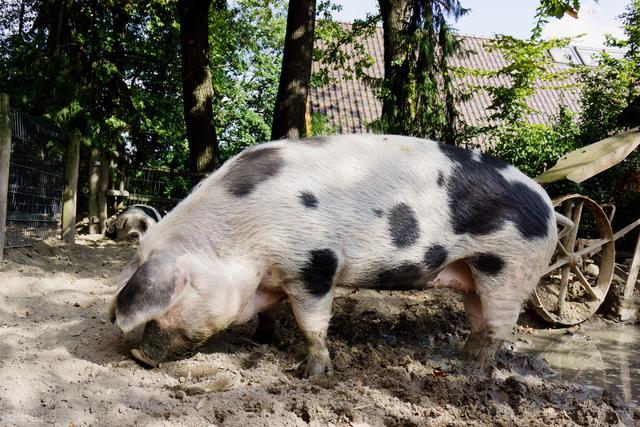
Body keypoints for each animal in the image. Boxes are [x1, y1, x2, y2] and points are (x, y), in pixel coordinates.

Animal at [107, 135, 556, 378]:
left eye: (178, 294)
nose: (138, 355)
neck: (238, 238)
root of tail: (549, 204)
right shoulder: (275, 273)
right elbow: (270, 312)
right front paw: (263, 340)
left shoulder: (315, 263)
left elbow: (313, 324)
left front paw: (310, 374)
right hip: (477, 274)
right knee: (480, 321)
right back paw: (462, 361)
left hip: (509, 269)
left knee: (497, 328)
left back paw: (474, 371)